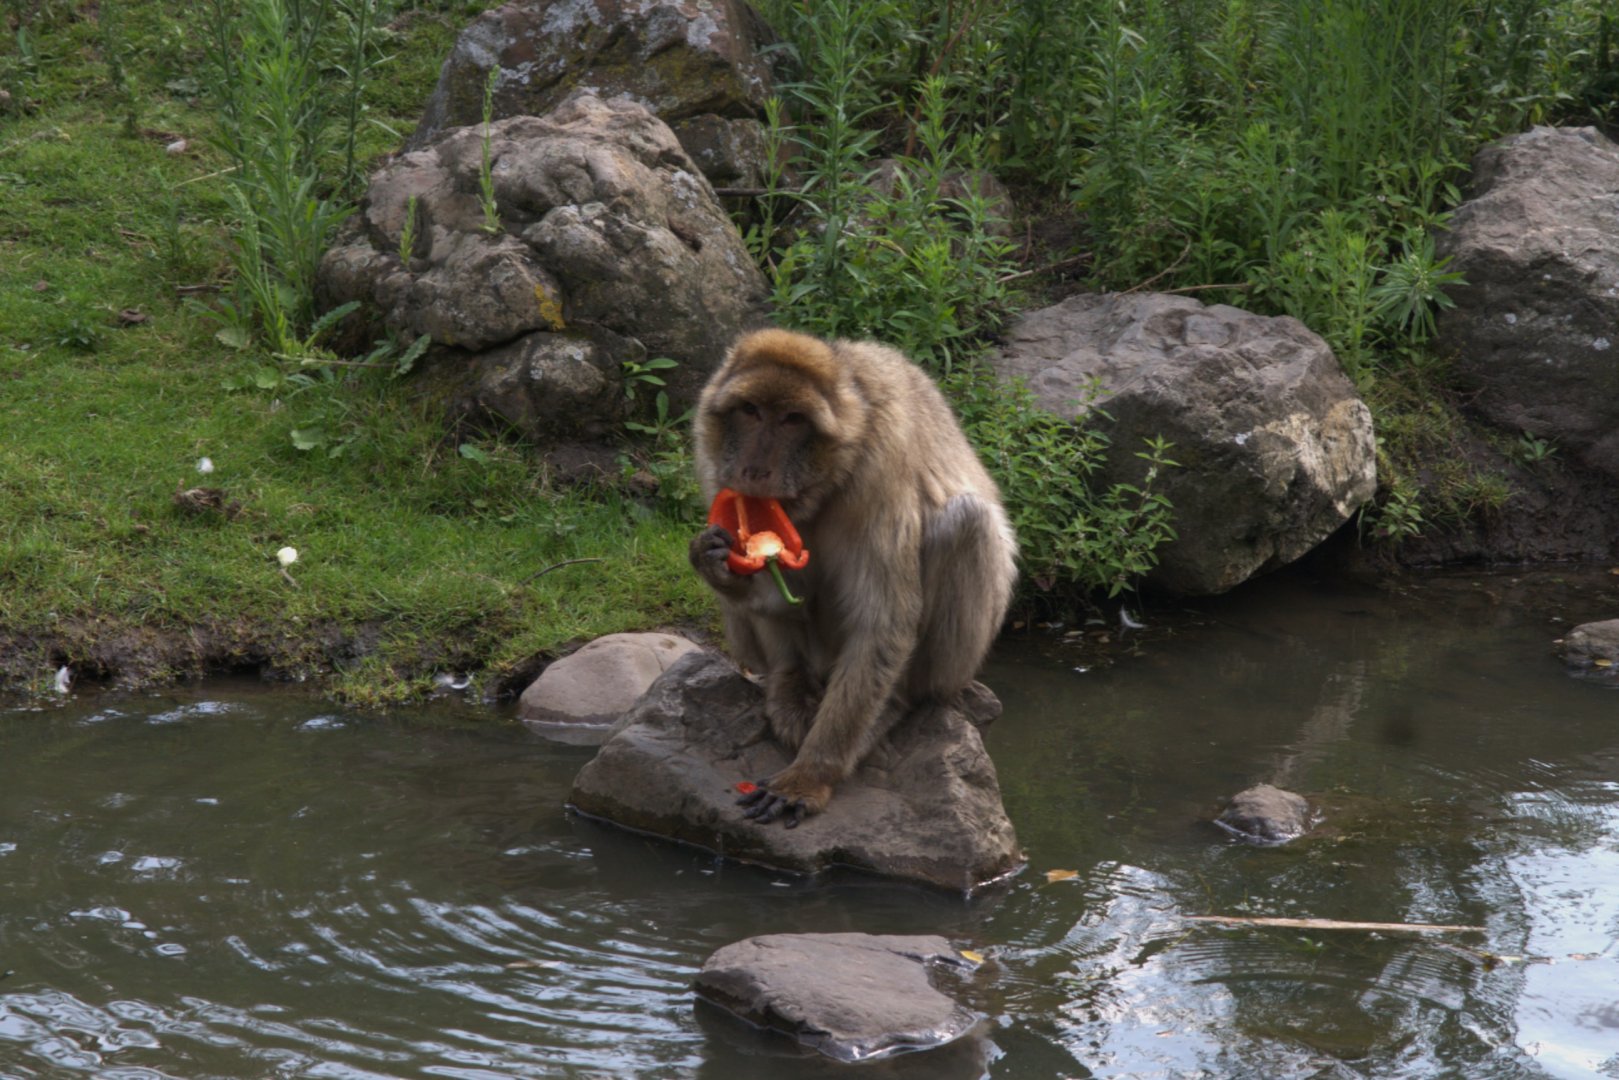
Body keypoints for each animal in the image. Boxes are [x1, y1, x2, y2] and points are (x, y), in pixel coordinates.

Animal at [688, 328, 1018, 827]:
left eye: (792, 420)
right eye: (751, 411)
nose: (755, 469)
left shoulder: (881, 472)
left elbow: (883, 624)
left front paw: (811, 776)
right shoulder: (716, 470)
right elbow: (783, 592)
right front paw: (721, 567)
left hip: (957, 664)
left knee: (967, 520)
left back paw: (899, 701)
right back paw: (788, 681)